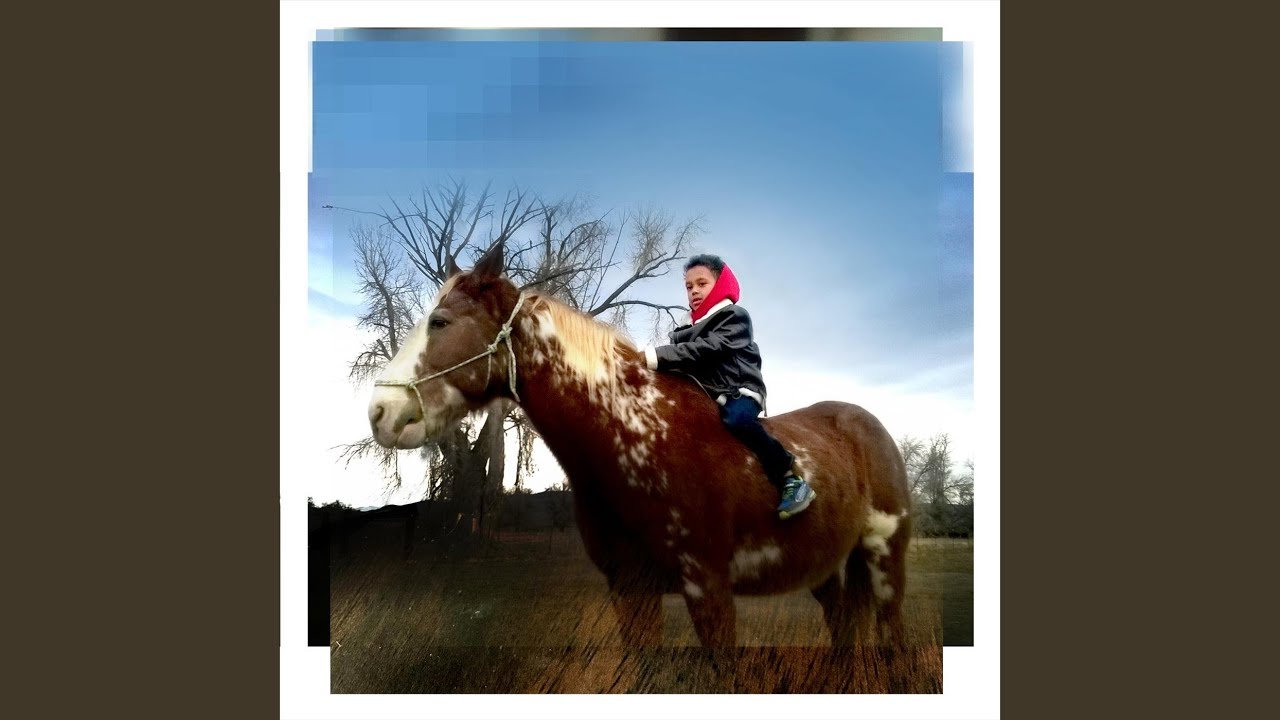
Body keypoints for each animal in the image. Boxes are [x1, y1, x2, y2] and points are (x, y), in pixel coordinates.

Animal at [366, 242, 913, 648]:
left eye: (440, 322)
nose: (380, 412)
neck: (640, 437)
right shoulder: (630, 590)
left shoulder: (709, 589)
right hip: (827, 573)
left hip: (886, 562)